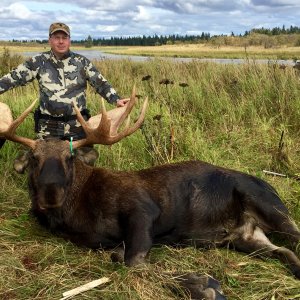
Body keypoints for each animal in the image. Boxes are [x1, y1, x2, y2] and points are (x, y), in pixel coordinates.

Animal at [0, 89, 300, 300]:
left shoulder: (143, 208)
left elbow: (134, 261)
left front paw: (204, 286)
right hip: (246, 237)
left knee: (293, 237)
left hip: (267, 204)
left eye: (69, 158)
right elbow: (122, 257)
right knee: (284, 251)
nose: (50, 195)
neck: (77, 214)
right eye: (34, 159)